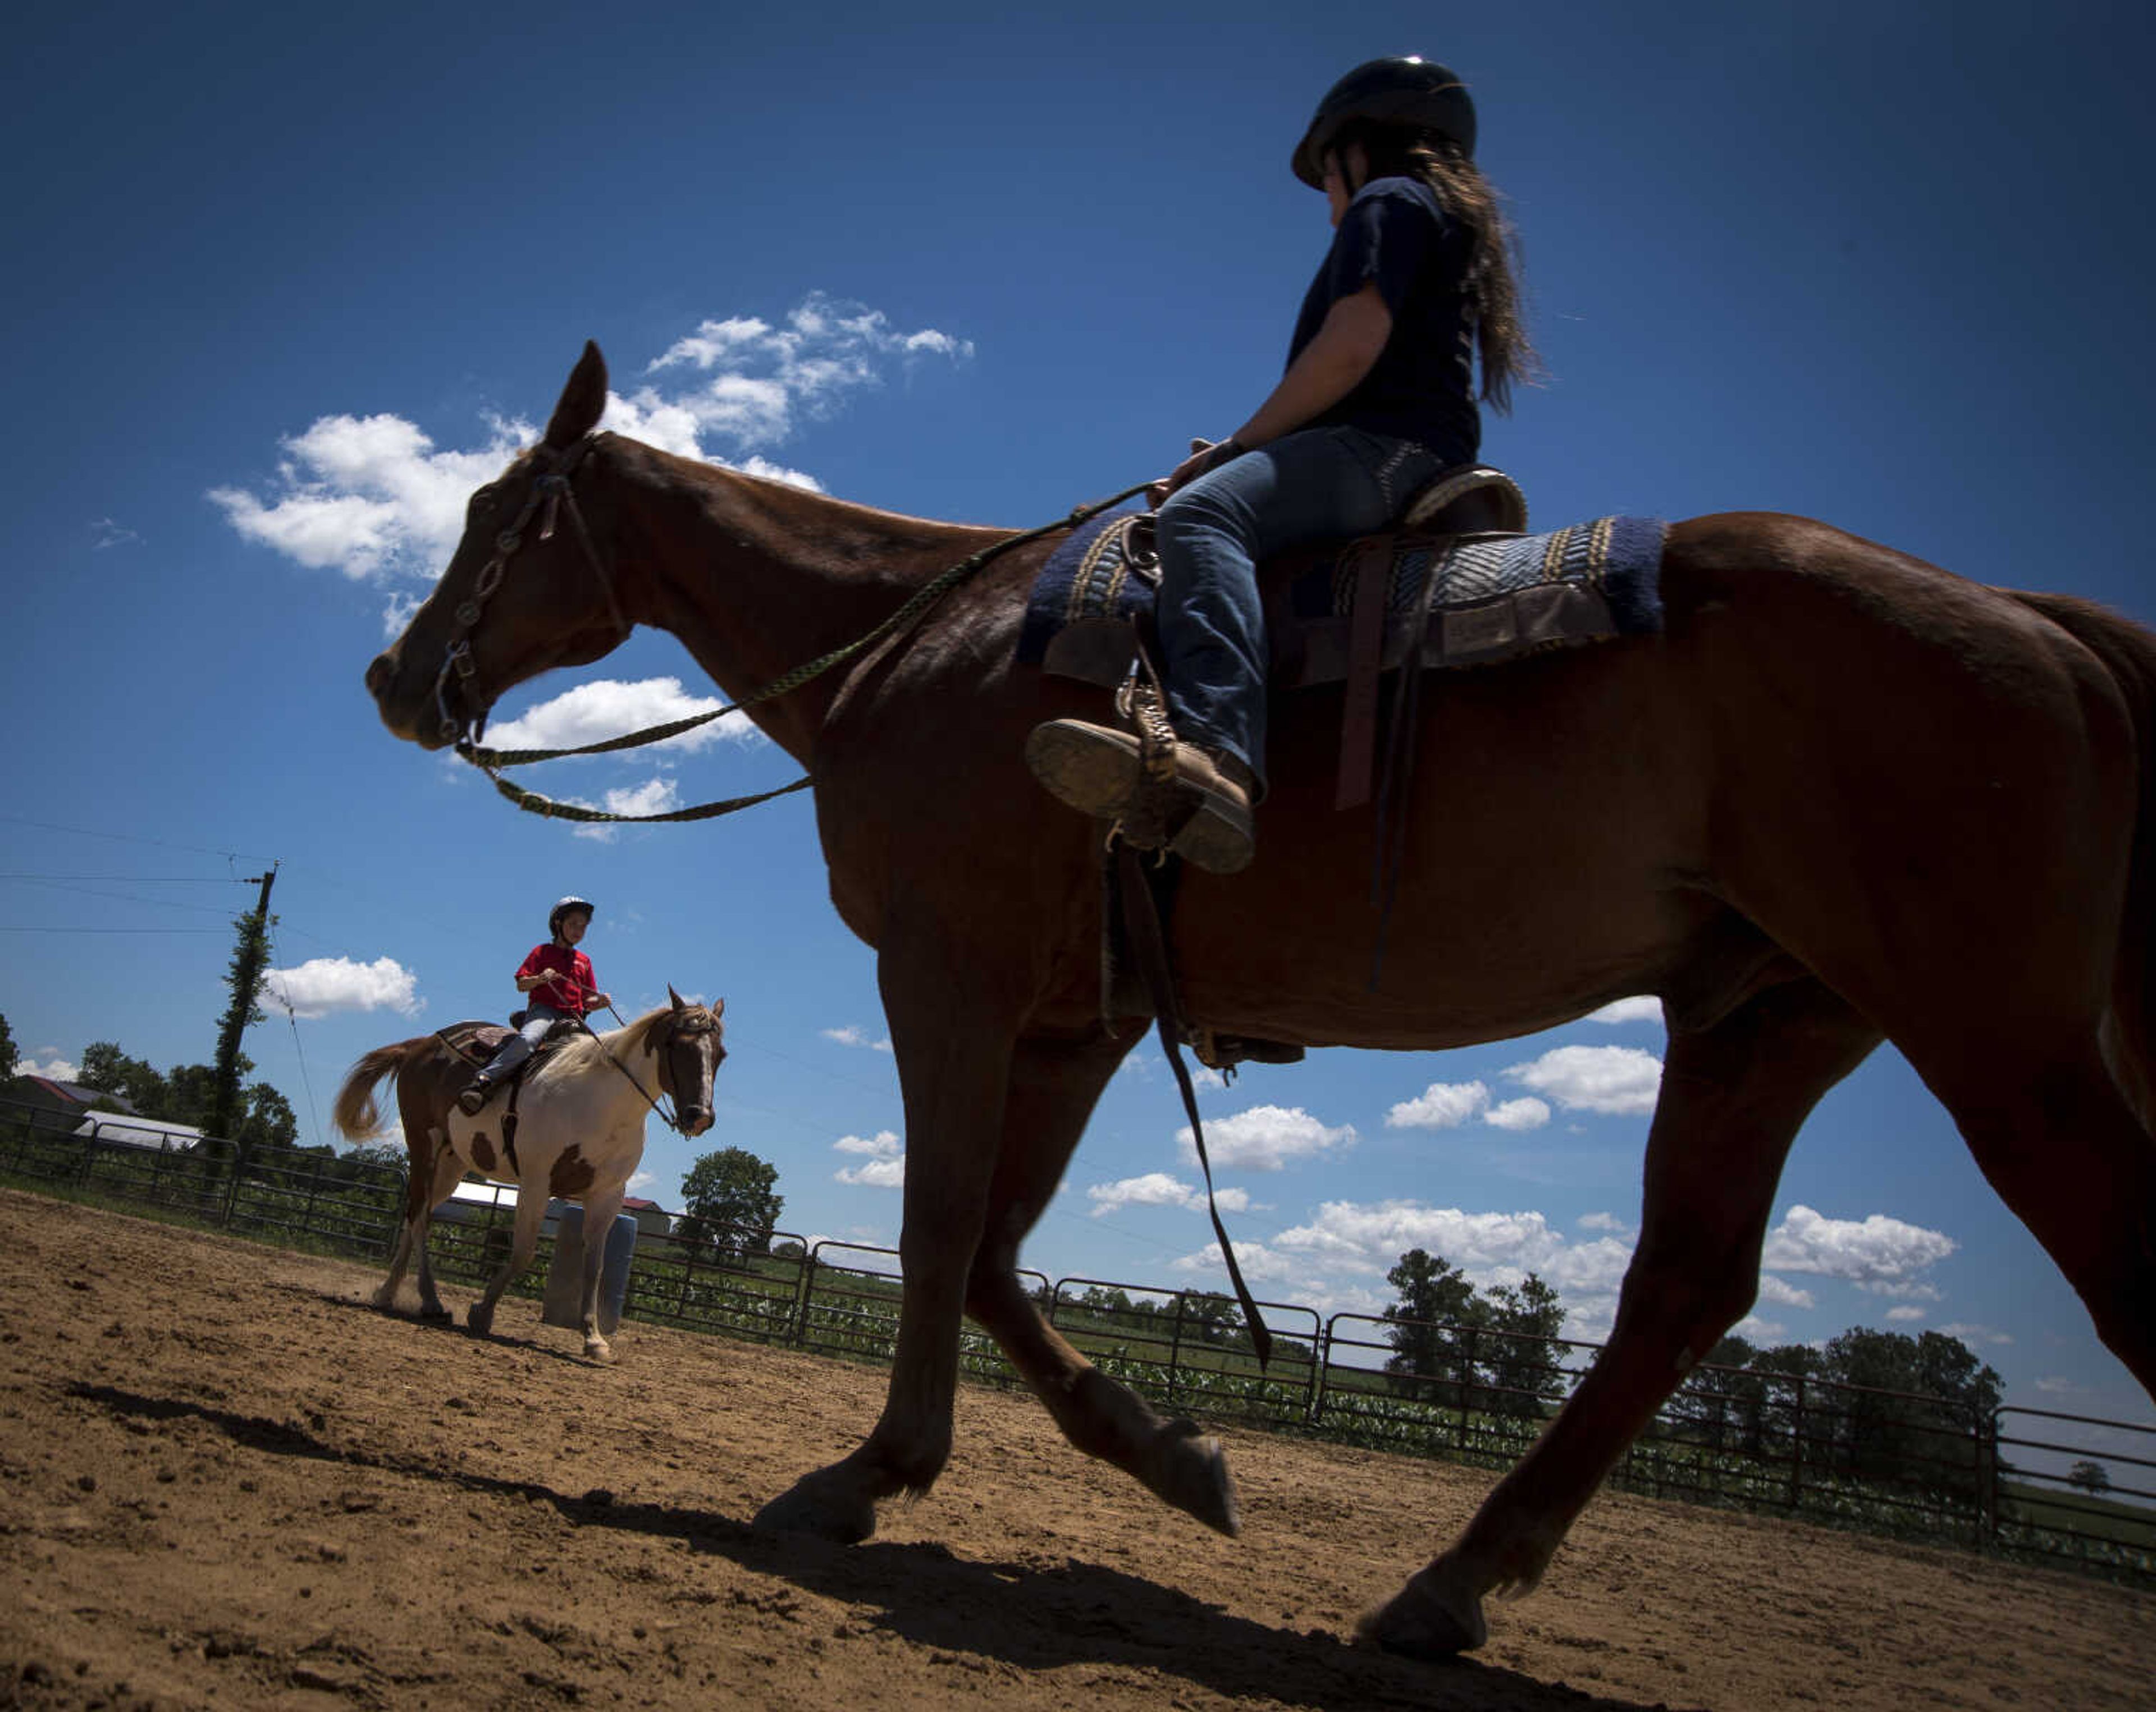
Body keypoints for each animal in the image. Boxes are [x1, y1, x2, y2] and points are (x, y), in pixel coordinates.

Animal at [332, 987, 724, 1362]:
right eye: (676, 1045)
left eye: (720, 1054)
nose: (700, 1117)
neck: (602, 1103)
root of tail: (420, 1045)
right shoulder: (537, 1183)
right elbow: (524, 1253)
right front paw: (482, 1312)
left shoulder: (608, 1195)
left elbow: (594, 1268)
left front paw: (594, 1339)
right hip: (422, 1145)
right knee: (419, 1217)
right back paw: (427, 1300)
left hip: (451, 1163)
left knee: (419, 1215)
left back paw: (391, 1293)